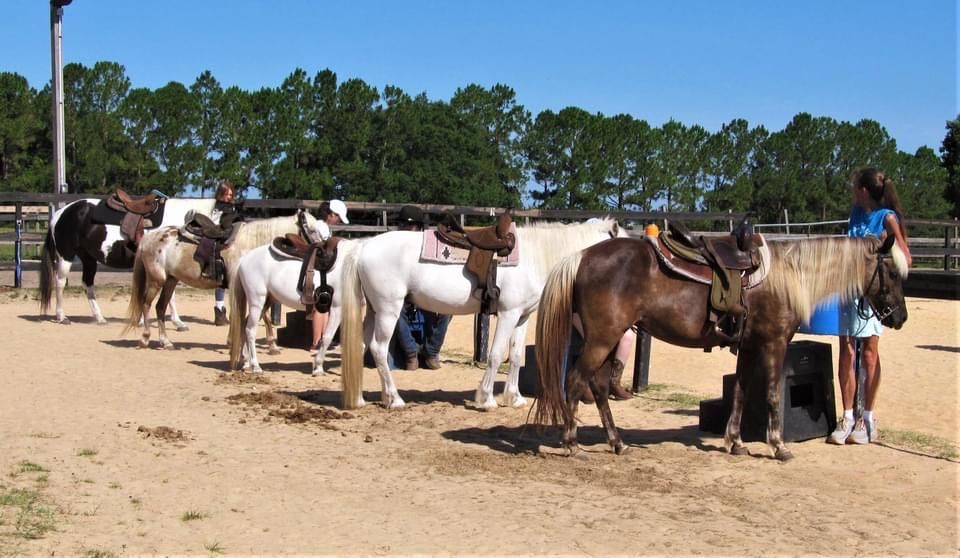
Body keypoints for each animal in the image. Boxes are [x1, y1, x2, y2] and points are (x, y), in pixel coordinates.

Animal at [39, 197, 215, 324]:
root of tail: (60, 212)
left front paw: (176, 322)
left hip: (88, 258)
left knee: (87, 284)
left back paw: (99, 318)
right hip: (66, 256)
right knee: (60, 282)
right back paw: (62, 317)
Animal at [123, 209, 322, 349]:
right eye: (312, 230)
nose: (320, 249)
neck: (250, 244)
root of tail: (149, 237)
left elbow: (262, 313)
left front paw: (272, 344)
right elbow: (238, 314)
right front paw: (233, 341)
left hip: (171, 280)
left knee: (160, 307)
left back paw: (165, 342)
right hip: (157, 279)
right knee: (146, 304)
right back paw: (145, 339)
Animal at [227, 238, 362, 376]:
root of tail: (244, 259)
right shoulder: (337, 308)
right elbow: (328, 336)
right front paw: (318, 367)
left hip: (265, 302)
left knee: (244, 326)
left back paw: (246, 363)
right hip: (256, 302)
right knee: (250, 330)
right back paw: (255, 366)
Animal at [338, 218, 627, 410]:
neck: (535, 256)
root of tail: (363, 247)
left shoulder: (522, 317)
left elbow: (517, 357)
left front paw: (515, 398)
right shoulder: (508, 314)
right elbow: (496, 354)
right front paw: (486, 399)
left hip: (374, 310)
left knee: (362, 345)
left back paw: (361, 398)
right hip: (389, 309)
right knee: (378, 349)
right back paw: (395, 399)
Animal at [533, 233, 909, 461]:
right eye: (890, 271)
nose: (901, 316)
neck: (786, 277)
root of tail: (582, 256)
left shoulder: (748, 347)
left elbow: (741, 390)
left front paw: (736, 442)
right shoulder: (774, 343)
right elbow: (772, 394)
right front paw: (778, 446)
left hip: (609, 338)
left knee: (596, 386)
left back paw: (617, 442)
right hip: (602, 339)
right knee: (574, 382)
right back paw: (571, 443)